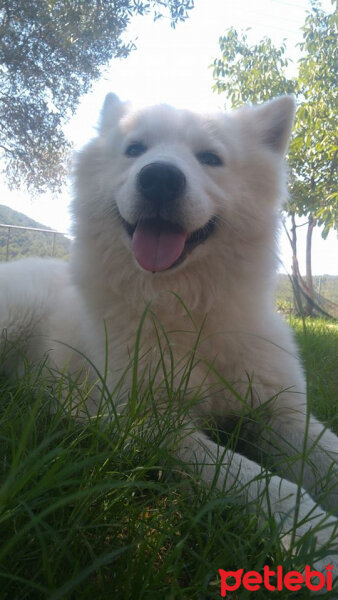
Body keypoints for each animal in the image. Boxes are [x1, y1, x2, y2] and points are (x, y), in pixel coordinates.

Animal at [0, 96, 336, 576]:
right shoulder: (157, 426)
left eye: (210, 158)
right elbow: (260, 481)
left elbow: (326, 456)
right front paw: (321, 540)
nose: (159, 178)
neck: (187, 310)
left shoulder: (285, 416)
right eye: (134, 149)